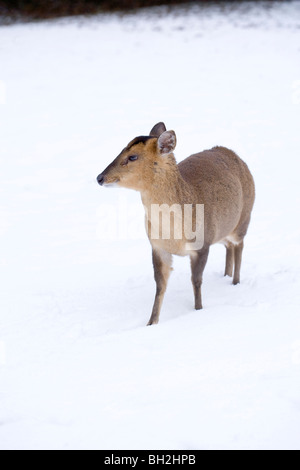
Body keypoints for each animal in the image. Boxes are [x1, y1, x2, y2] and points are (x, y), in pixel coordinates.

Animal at [96, 123, 255, 324]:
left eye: (132, 156)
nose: (100, 177)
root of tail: (236, 156)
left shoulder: (202, 244)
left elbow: (196, 281)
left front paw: (198, 310)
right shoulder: (157, 247)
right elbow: (160, 285)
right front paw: (151, 322)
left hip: (244, 218)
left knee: (239, 246)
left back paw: (235, 282)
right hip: (223, 230)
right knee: (229, 247)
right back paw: (226, 275)